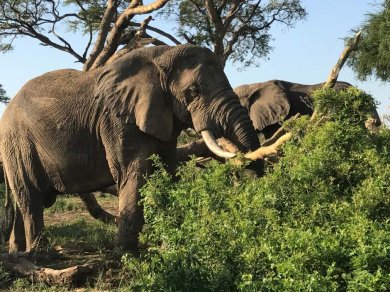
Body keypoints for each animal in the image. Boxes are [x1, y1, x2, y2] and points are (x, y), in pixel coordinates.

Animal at [1, 44, 262, 254]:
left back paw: (17, 251)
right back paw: (41, 255)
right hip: (18, 141)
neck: (160, 57)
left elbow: (170, 173)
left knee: (24, 197)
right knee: (30, 195)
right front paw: (126, 255)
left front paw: (169, 247)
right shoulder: (116, 120)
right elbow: (133, 174)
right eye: (193, 91)